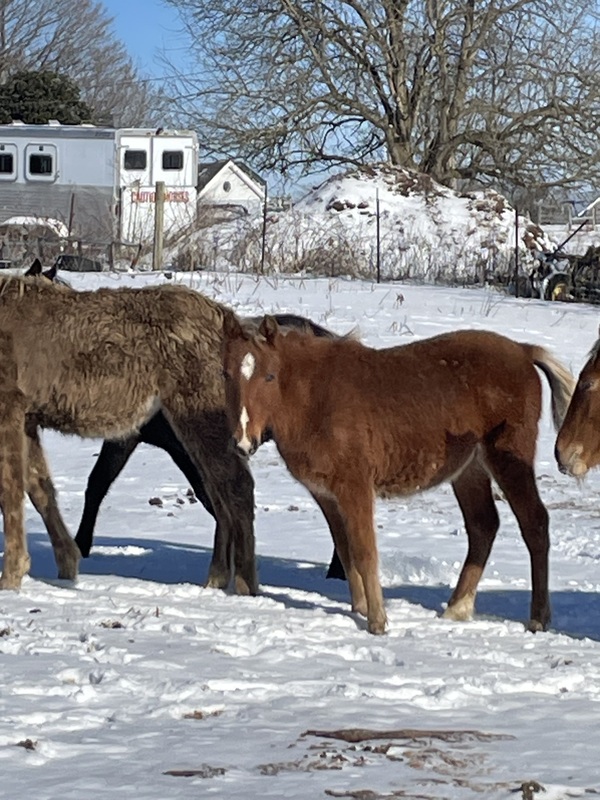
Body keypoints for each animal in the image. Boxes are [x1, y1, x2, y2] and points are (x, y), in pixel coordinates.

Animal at [0, 276, 255, 592]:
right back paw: (216, 579)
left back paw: (245, 586)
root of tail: (227, 319)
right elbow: (40, 488)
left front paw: (11, 577)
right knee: (219, 493)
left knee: (236, 487)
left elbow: (11, 492)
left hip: (198, 412)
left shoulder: (9, 406)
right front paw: (67, 564)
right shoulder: (28, 419)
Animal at [223, 316, 576, 636]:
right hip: (469, 469)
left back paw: (538, 619)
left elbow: (365, 551)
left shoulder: (354, 485)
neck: (315, 399)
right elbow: (347, 551)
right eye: (226, 374)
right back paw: (457, 608)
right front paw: (360, 608)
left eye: (269, 376)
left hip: (507, 458)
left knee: (534, 523)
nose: (243, 441)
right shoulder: (325, 494)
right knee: (483, 526)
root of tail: (524, 350)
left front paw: (377, 621)